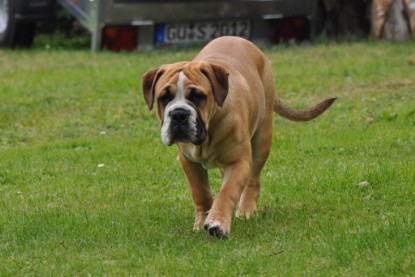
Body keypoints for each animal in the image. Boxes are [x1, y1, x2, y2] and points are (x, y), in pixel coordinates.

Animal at [141, 35, 336, 236]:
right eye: (164, 97)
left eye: (197, 96)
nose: (179, 114)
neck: (209, 131)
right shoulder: (189, 162)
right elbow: (200, 192)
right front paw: (202, 220)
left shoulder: (240, 161)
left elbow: (228, 192)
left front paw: (218, 222)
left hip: (262, 139)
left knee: (253, 179)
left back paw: (246, 210)